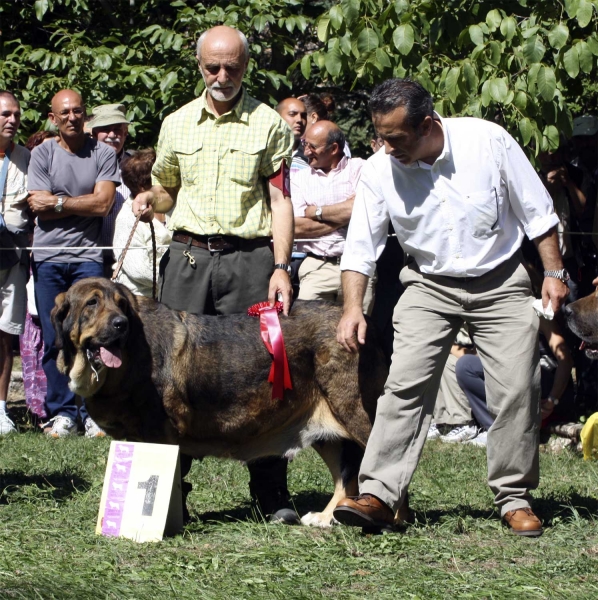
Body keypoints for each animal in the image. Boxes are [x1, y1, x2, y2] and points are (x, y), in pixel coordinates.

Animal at [50, 278, 390, 528]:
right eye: (92, 303)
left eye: (121, 304)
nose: (120, 323)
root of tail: (365, 322)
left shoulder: (161, 433)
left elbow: (171, 479)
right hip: (324, 426)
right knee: (345, 474)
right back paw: (327, 517)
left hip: (354, 410)